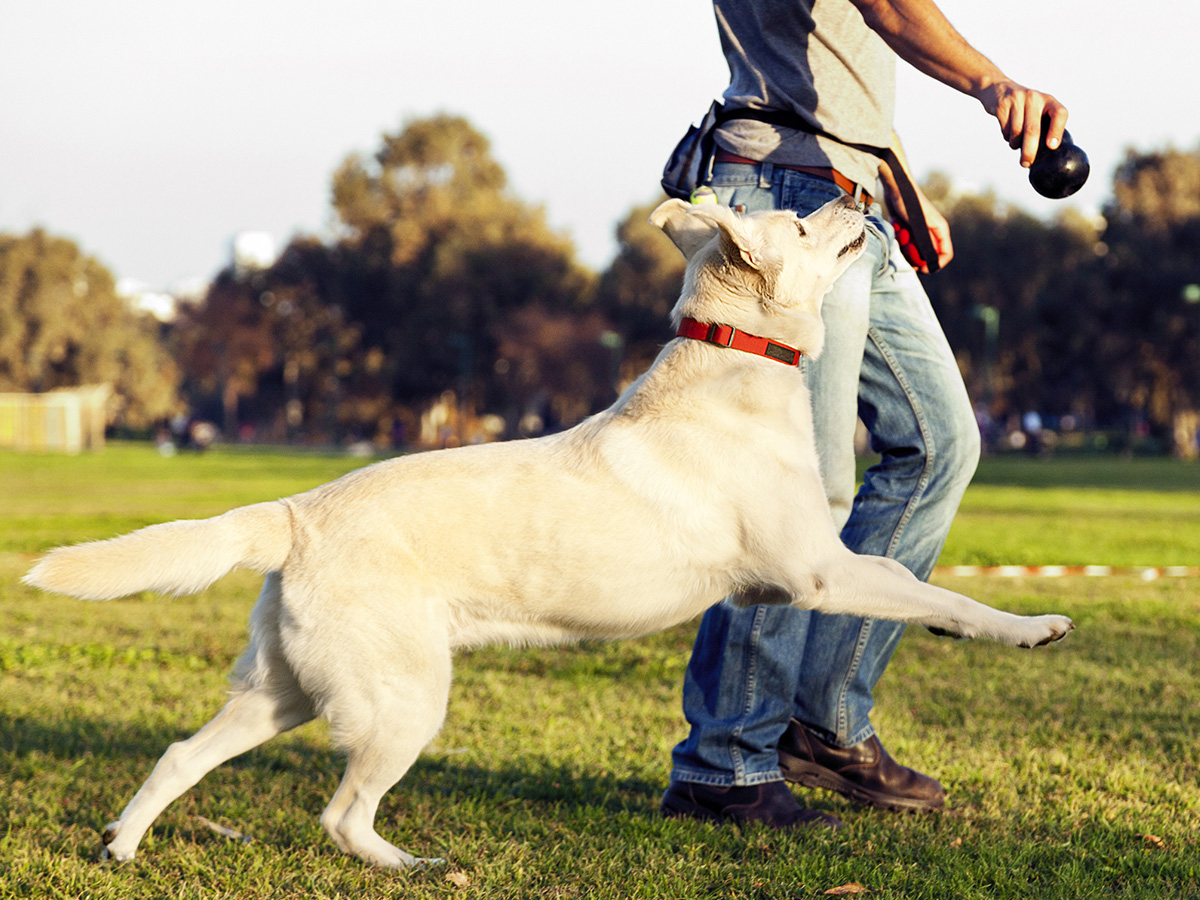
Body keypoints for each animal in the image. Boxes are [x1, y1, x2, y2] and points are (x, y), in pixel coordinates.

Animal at [23, 196, 1075, 868]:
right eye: (805, 222)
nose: (861, 196)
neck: (734, 364)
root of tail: (294, 513)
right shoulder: (819, 572)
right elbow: (937, 592)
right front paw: (1030, 628)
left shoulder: (804, 578)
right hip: (403, 701)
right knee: (340, 814)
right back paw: (410, 865)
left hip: (284, 692)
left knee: (179, 754)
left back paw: (122, 846)